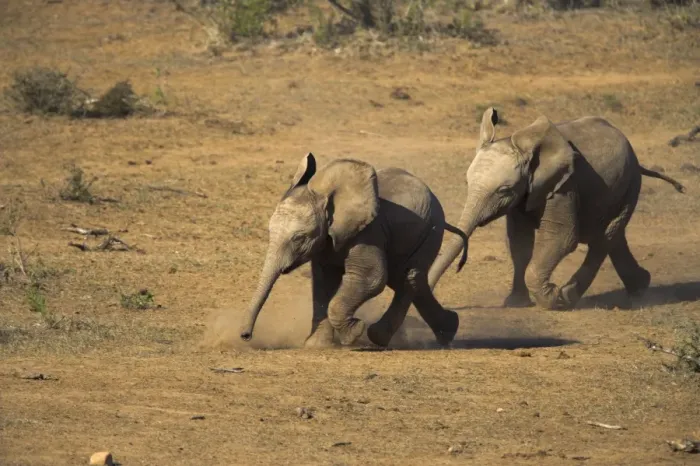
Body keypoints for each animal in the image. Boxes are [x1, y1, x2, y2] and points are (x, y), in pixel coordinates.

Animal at [239, 152, 468, 348]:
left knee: (408, 277)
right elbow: (323, 281)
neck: (327, 197)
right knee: (408, 279)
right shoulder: (326, 241)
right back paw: (449, 331)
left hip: (431, 230)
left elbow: (372, 278)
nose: (245, 336)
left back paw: (378, 337)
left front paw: (354, 333)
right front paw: (316, 346)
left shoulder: (368, 233)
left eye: (298, 238)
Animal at [428, 108, 685, 310]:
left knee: (603, 238)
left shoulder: (564, 184)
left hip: (630, 184)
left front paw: (550, 297)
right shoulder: (525, 192)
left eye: (503, 190)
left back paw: (567, 297)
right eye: (467, 183)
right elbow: (519, 243)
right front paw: (516, 303)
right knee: (613, 236)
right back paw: (640, 287)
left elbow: (562, 236)